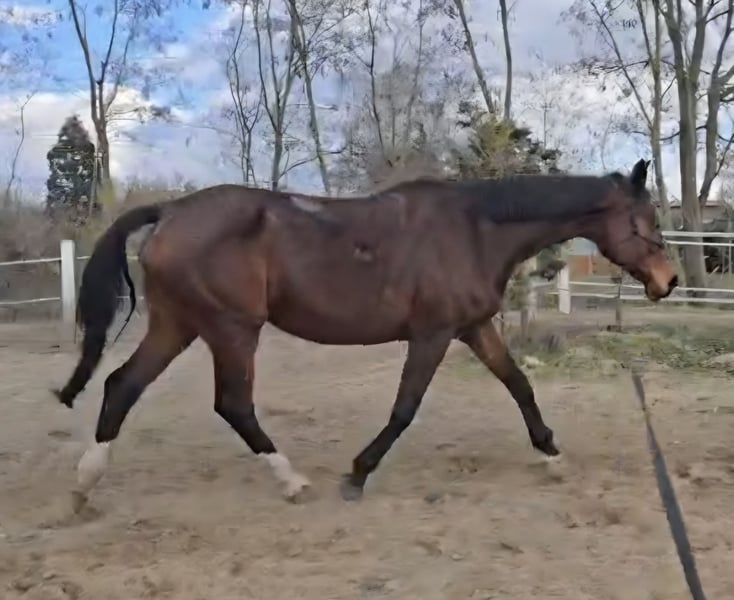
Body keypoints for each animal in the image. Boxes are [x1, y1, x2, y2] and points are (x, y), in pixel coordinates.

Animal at [53, 158, 677, 511]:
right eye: (646, 222)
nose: (668, 281)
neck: (473, 230)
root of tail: (170, 212)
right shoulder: (432, 334)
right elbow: (404, 408)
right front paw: (356, 474)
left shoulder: (473, 328)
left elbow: (518, 385)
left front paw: (552, 455)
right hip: (232, 329)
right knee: (232, 403)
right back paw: (292, 482)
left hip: (178, 324)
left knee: (121, 386)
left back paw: (84, 488)